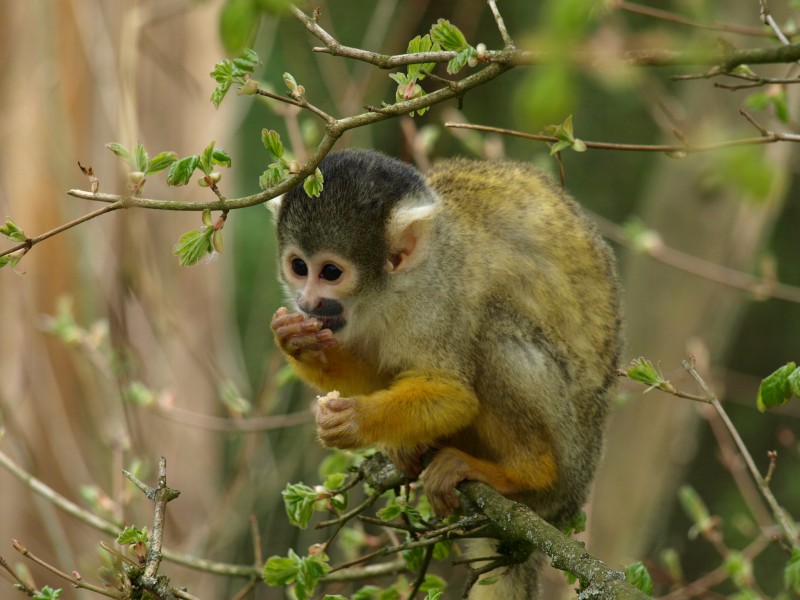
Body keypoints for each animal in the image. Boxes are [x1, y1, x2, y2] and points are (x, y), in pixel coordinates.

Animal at [268, 149, 624, 596]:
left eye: (330, 272)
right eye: (299, 266)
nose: (308, 301)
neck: (386, 293)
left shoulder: (438, 298)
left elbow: (455, 394)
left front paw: (356, 420)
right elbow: (385, 373)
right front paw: (300, 344)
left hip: (570, 449)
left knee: (495, 331)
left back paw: (526, 471)